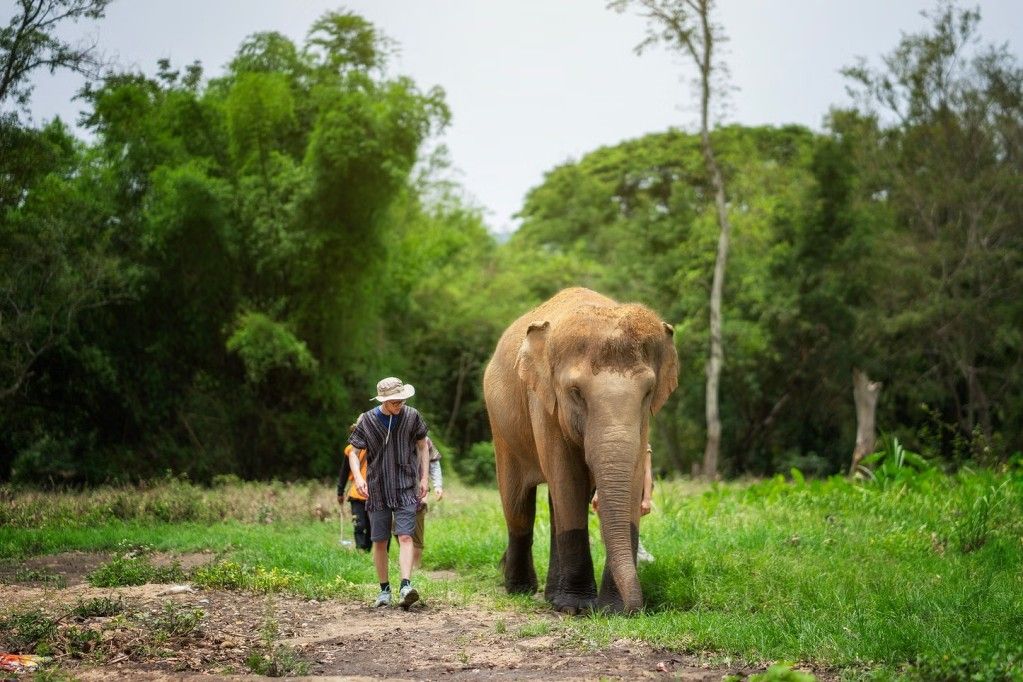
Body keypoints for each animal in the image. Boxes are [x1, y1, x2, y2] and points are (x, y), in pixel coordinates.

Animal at [483, 287, 678, 614]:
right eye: (576, 392)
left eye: (648, 392)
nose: (636, 609)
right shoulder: (544, 401)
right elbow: (568, 478)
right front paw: (576, 608)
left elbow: (633, 476)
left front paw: (611, 610)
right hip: (501, 428)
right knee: (518, 505)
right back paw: (520, 590)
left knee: (553, 504)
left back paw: (550, 595)